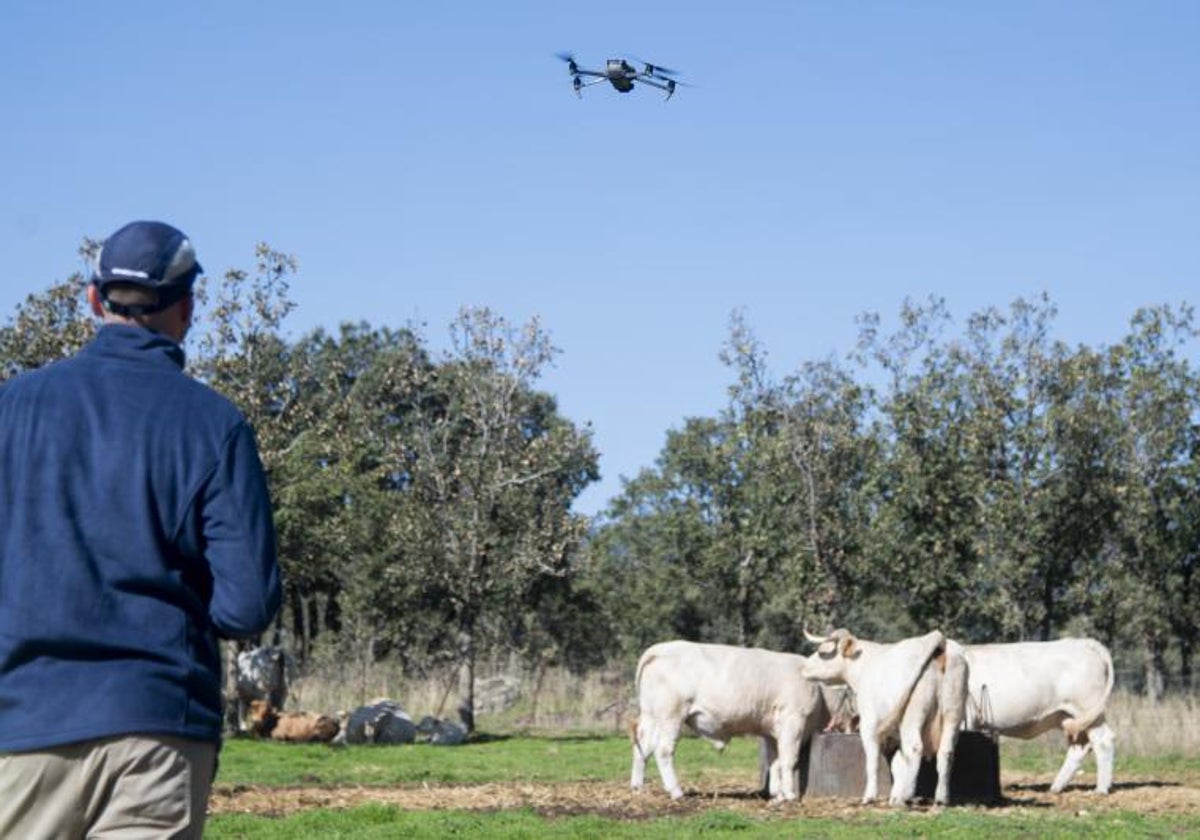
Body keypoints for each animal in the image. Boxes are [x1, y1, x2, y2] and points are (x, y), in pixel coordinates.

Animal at [633, 643, 830, 801]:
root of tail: (658, 650)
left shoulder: (772, 732)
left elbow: (775, 761)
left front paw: (777, 794)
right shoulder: (793, 720)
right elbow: (788, 759)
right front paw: (789, 795)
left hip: (651, 716)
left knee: (642, 747)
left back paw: (637, 787)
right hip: (671, 715)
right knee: (663, 751)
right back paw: (676, 792)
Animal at [801, 628, 969, 806]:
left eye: (821, 652)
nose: (804, 667)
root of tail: (939, 641)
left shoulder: (869, 726)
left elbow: (873, 761)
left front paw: (870, 797)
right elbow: (898, 764)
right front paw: (894, 795)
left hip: (914, 715)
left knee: (915, 748)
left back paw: (906, 796)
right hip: (953, 711)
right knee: (946, 752)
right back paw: (941, 798)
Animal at [960, 638, 1118, 792]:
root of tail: (1084, 642)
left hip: (1087, 708)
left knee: (1103, 740)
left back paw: (1101, 789)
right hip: (1070, 717)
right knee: (1080, 746)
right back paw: (1056, 787)